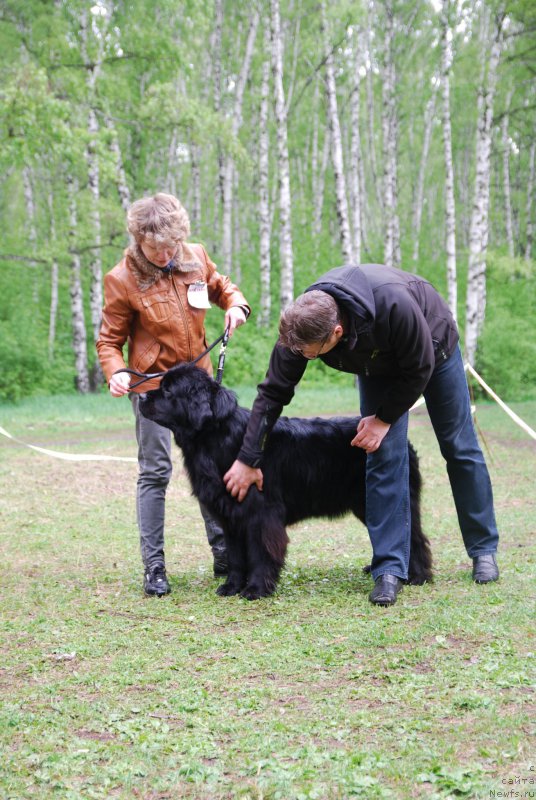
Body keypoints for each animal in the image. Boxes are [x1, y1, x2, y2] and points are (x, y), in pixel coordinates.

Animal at [138, 366, 432, 596]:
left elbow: (260, 552)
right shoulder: (231, 515)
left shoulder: (261, 513)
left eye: (167, 390)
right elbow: (235, 556)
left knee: (413, 537)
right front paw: (231, 587)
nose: (140, 395)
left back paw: (415, 577)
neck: (218, 437)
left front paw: (256, 589)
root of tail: (405, 444)